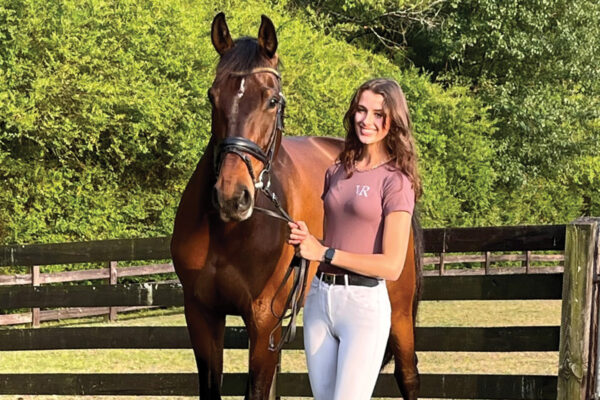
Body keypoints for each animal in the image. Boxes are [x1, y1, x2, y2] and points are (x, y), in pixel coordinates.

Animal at [169, 12, 422, 400]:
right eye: (212, 96)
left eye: (272, 100)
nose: (232, 196)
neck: (229, 233)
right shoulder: (201, 315)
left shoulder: (263, 319)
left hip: (400, 312)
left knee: (407, 375)